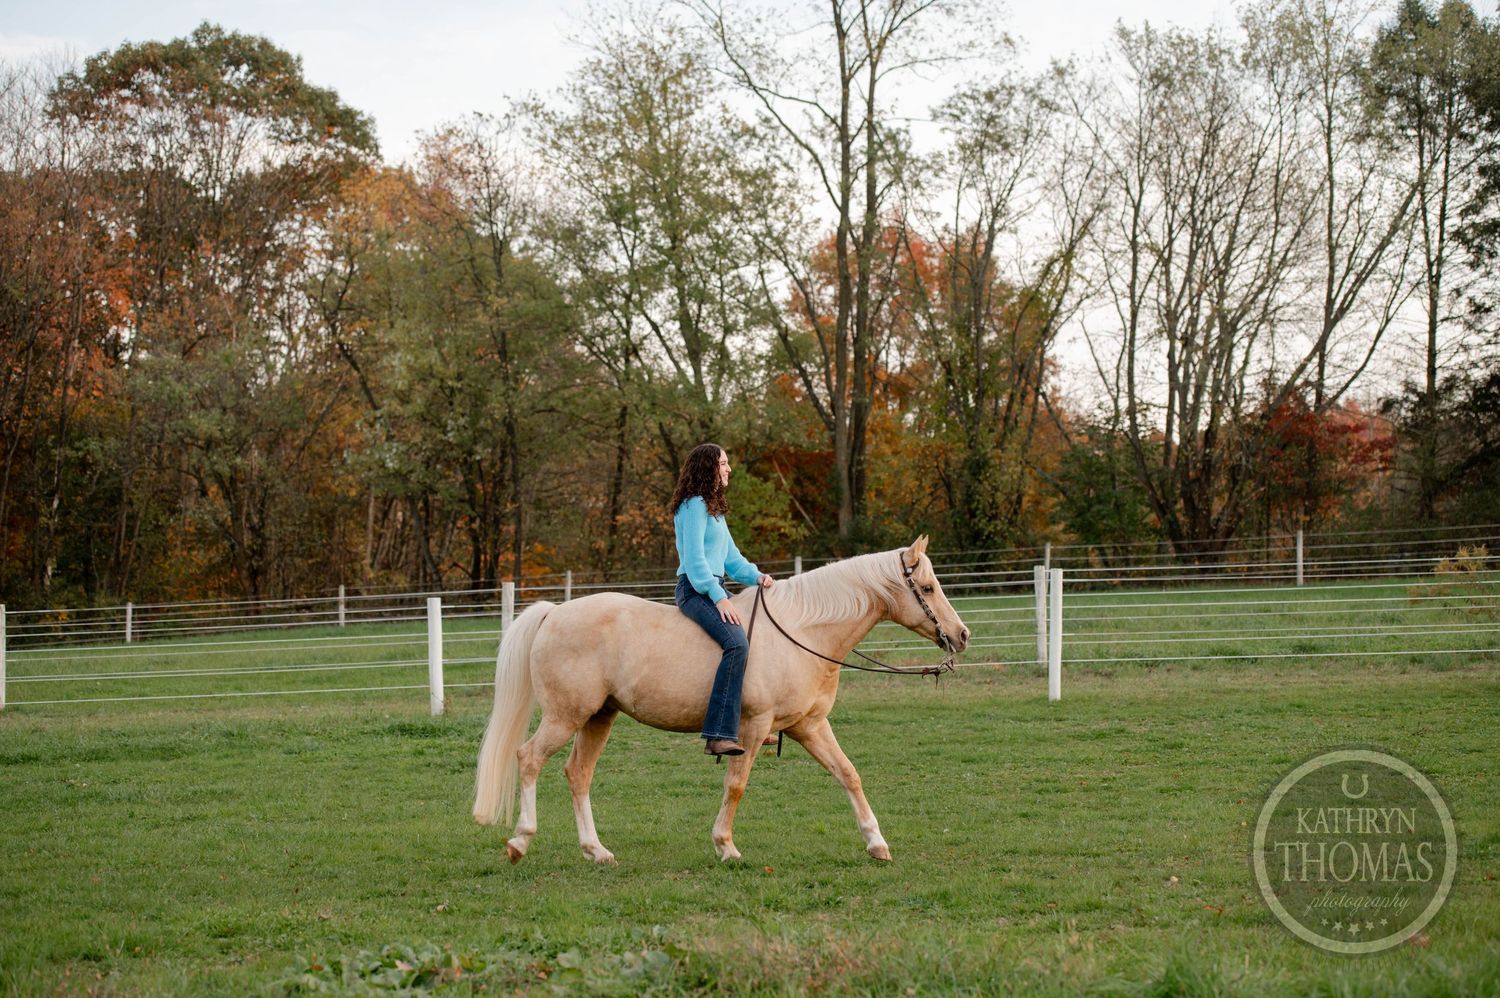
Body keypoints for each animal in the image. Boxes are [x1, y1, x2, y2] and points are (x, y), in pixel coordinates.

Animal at [471, 535, 969, 864]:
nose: (961, 635)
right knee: (529, 759)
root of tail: (555, 613)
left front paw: (876, 842)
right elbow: (736, 785)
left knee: (578, 775)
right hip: (565, 716)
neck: (802, 632)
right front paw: (726, 846)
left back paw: (597, 850)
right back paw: (520, 840)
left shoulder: (809, 726)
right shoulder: (752, 726)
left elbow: (849, 774)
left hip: (598, 718)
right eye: (927, 588)